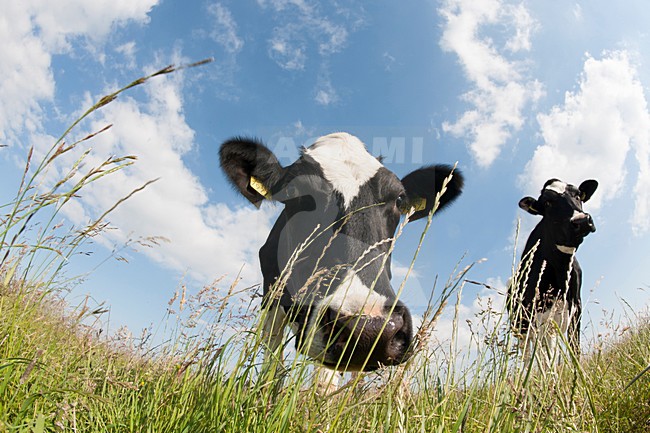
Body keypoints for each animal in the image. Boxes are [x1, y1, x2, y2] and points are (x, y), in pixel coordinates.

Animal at [507, 178, 598, 363]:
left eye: (578, 195)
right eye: (547, 203)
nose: (582, 221)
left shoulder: (575, 307)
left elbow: (574, 348)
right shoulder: (537, 317)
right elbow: (544, 358)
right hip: (522, 328)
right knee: (529, 355)